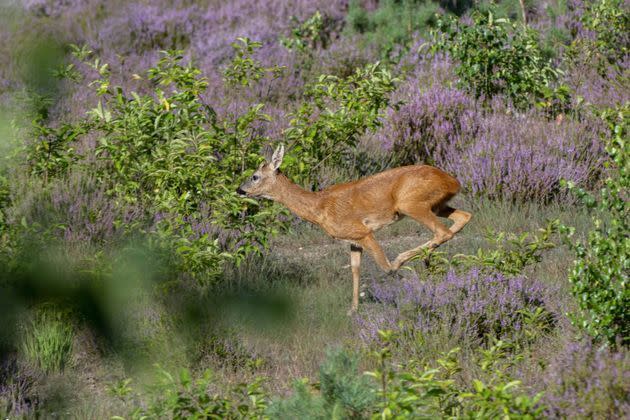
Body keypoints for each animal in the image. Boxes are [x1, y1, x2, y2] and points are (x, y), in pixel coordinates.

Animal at [239, 146, 472, 314]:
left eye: (254, 176)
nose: (239, 190)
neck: (319, 208)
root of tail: (454, 182)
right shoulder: (352, 240)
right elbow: (355, 269)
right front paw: (352, 310)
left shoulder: (363, 231)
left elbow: (385, 267)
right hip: (436, 205)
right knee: (463, 217)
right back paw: (428, 258)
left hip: (410, 203)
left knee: (443, 231)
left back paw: (410, 259)